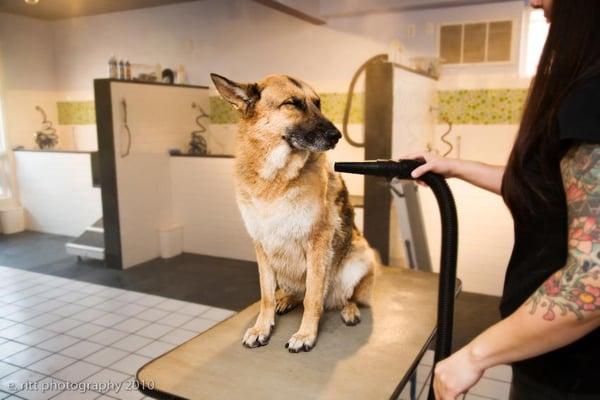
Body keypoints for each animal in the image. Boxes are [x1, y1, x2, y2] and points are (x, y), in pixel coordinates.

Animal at [212, 72, 376, 354]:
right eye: (292, 103)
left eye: (318, 103)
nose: (337, 135)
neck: (275, 178)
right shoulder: (261, 245)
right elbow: (266, 294)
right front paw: (261, 327)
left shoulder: (318, 242)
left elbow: (312, 298)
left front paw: (306, 334)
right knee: (295, 292)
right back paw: (286, 299)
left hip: (361, 258)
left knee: (344, 295)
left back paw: (349, 309)